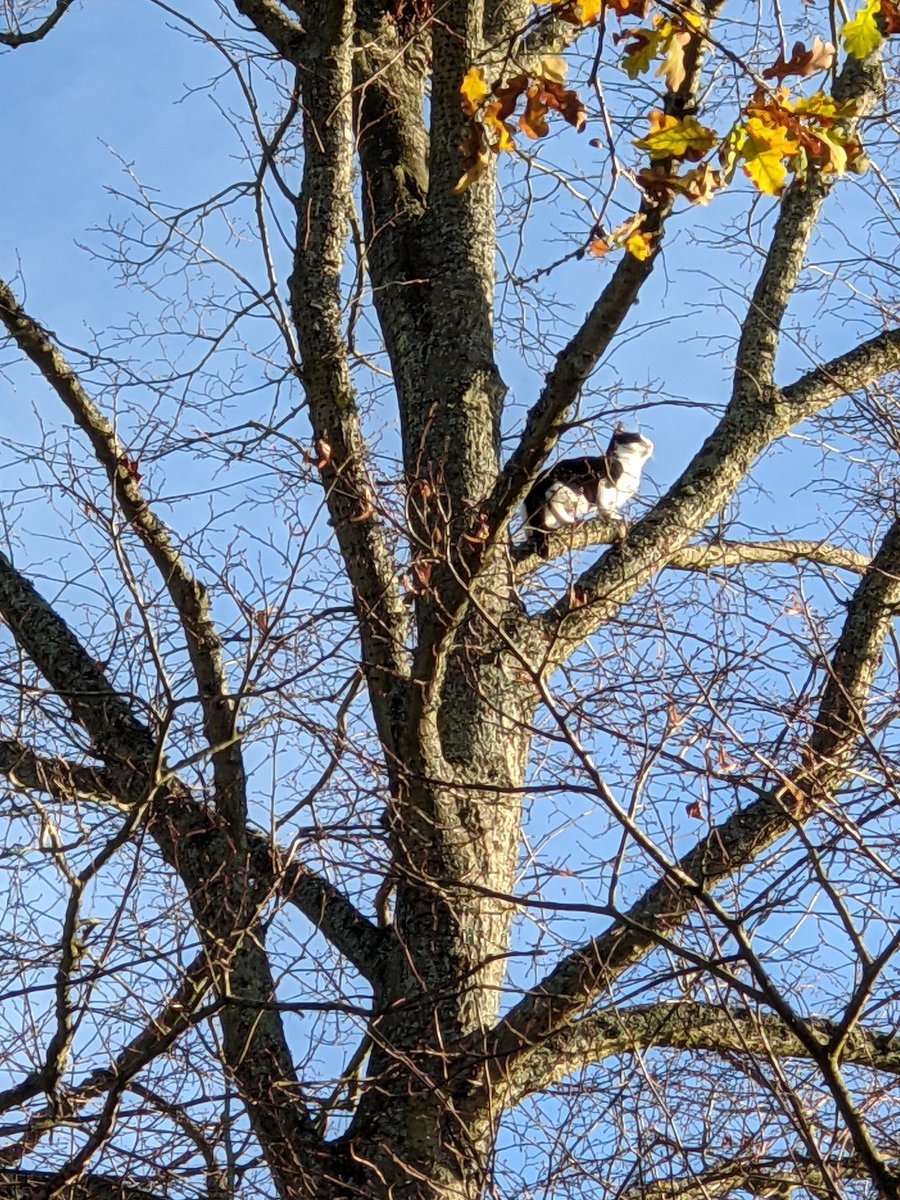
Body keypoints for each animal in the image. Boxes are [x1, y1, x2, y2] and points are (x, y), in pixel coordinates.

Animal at [520, 432, 657, 556]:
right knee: (551, 499)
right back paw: (572, 522)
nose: (650, 443)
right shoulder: (606, 482)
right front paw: (612, 516)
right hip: (572, 490)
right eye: (637, 438)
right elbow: (605, 506)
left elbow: (609, 506)